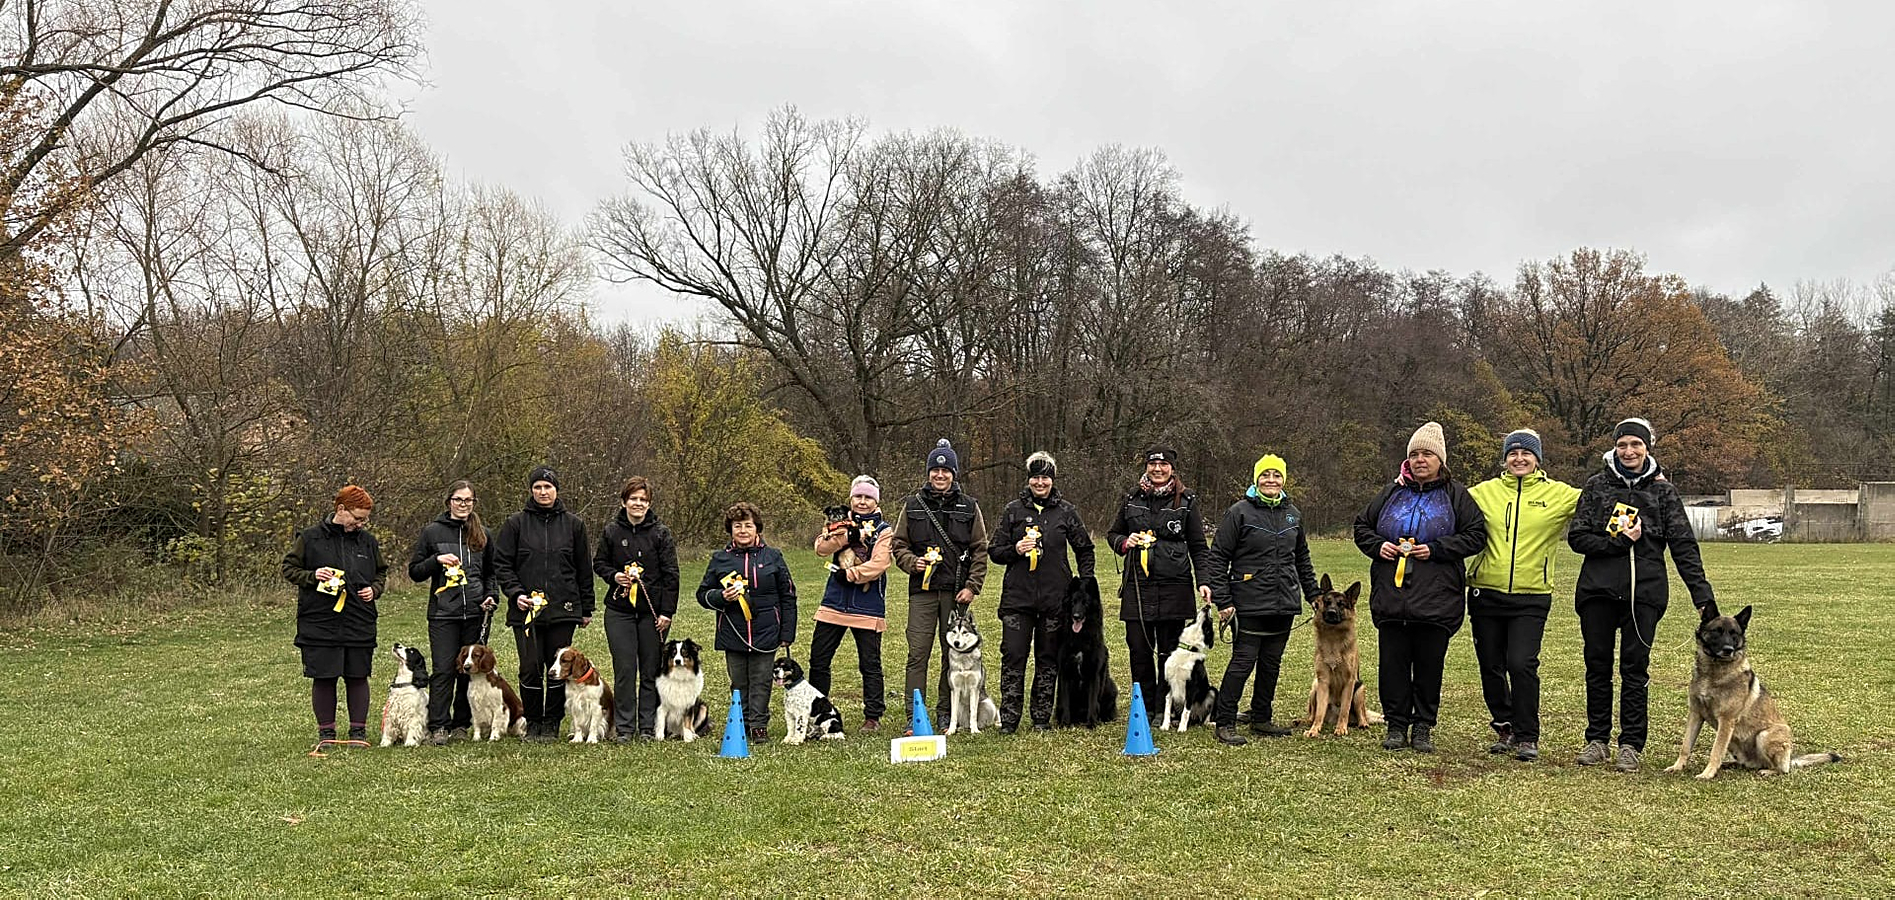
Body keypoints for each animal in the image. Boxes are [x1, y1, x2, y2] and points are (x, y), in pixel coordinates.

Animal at [1055, 576, 1119, 728]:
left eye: (1086, 603)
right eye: (1073, 602)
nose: (1076, 616)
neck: (1080, 638)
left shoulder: (1094, 675)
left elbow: (1092, 702)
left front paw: (1092, 723)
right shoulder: (1065, 673)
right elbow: (1066, 701)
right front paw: (1065, 723)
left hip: (1111, 688)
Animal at [1303, 576, 1383, 737]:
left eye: (1341, 604)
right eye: (1327, 602)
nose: (1331, 612)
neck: (1333, 638)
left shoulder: (1349, 682)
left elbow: (1345, 709)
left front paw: (1341, 728)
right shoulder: (1323, 681)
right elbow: (1319, 713)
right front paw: (1314, 730)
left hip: (1359, 690)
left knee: (1361, 712)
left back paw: (1362, 723)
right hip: (1314, 687)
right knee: (1313, 713)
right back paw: (1306, 721)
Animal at [1664, 602, 1841, 779]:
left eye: (1734, 634)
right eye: (1717, 631)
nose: (1728, 649)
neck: (1713, 673)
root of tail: (1791, 760)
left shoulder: (1726, 720)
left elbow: (1716, 751)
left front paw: (1707, 774)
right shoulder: (1696, 714)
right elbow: (1686, 746)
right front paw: (1677, 767)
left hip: (1764, 736)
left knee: (1782, 769)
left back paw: (1768, 771)